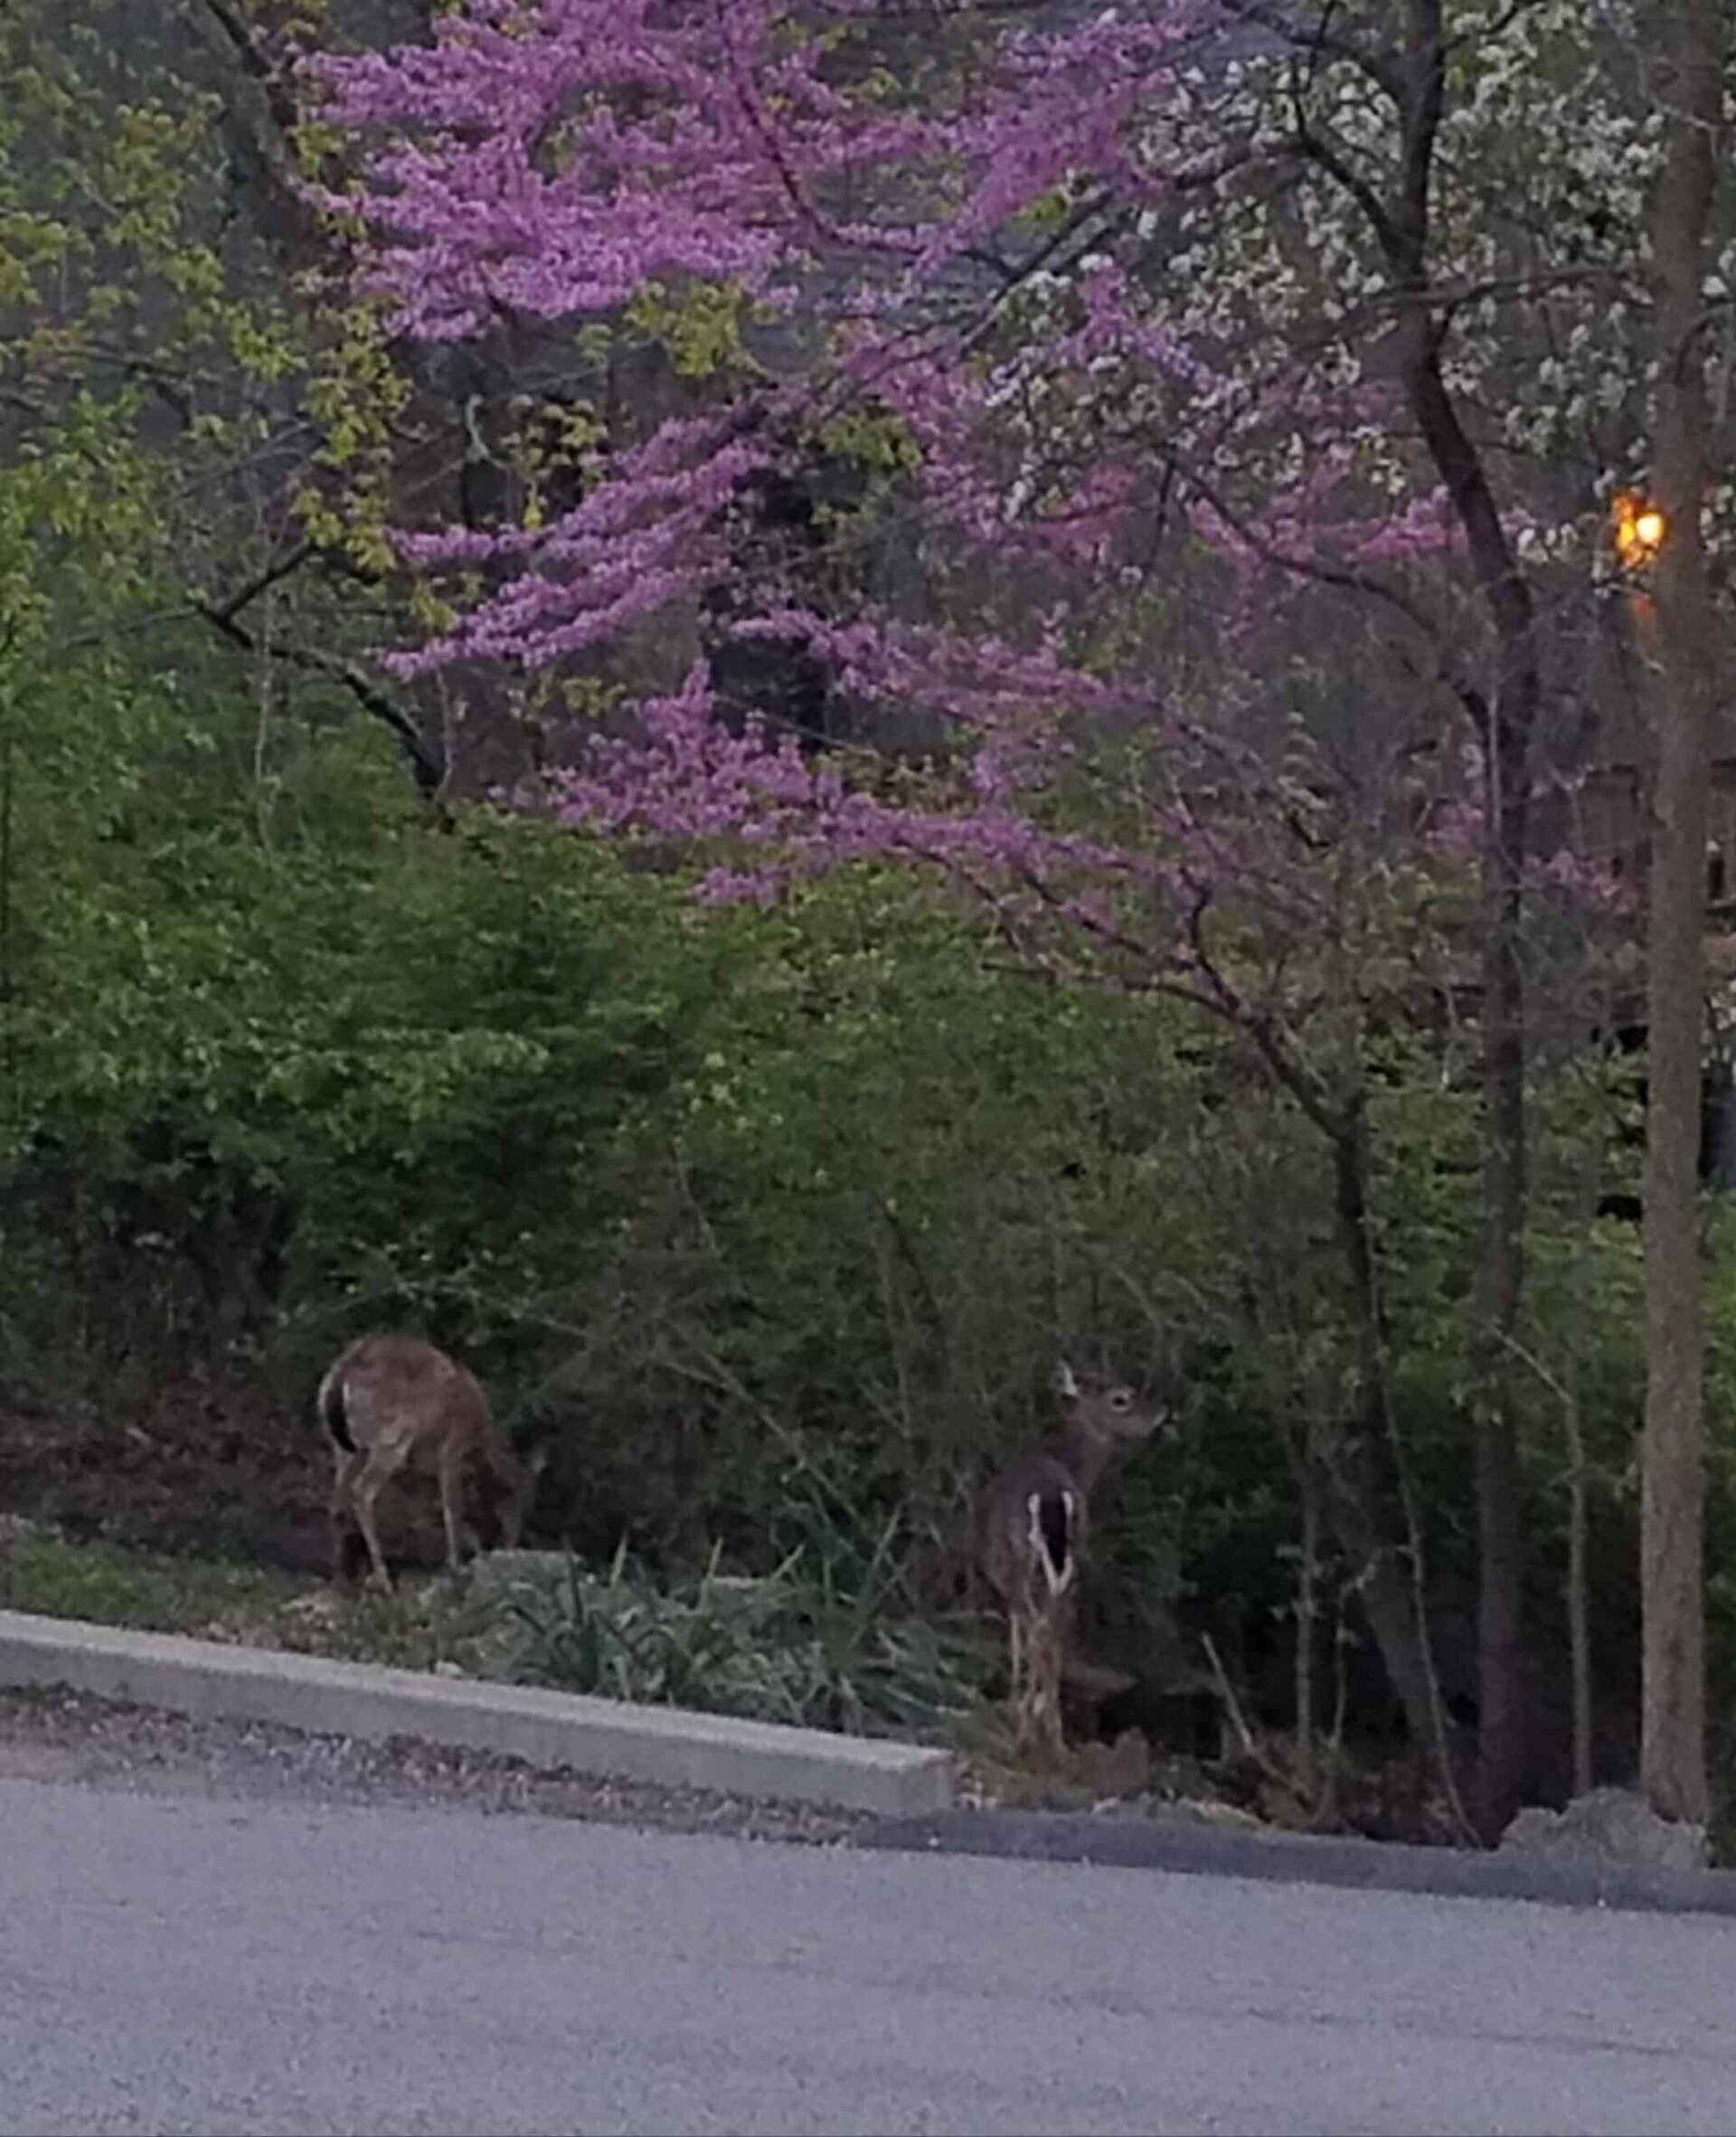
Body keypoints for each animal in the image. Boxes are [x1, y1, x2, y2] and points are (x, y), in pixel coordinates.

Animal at [317, 1335, 540, 1594]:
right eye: (520, 1500)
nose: (511, 1544)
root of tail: (342, 1372)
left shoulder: (424, 1470)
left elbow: (433, 1514)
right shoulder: (452, 1450)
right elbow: (453, 1509)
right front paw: (456, 1565)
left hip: (343, 1446)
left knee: (336, 1504)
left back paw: (340, 1579)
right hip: (392, 1438)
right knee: (362, 1492)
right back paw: (383, 1580)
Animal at [977, 1359, 1165, 1758]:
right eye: (1121, 1398)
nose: (1159, 1412)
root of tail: (1051, 1497)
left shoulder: (1005, 1576)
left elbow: (1018, 1639)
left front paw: (1019, 1709)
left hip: (1022, 1563)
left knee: (1040, 1631)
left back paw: (1030, 1733)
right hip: (1069, 1561)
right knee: (1053, 1633)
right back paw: (1053, 1735)